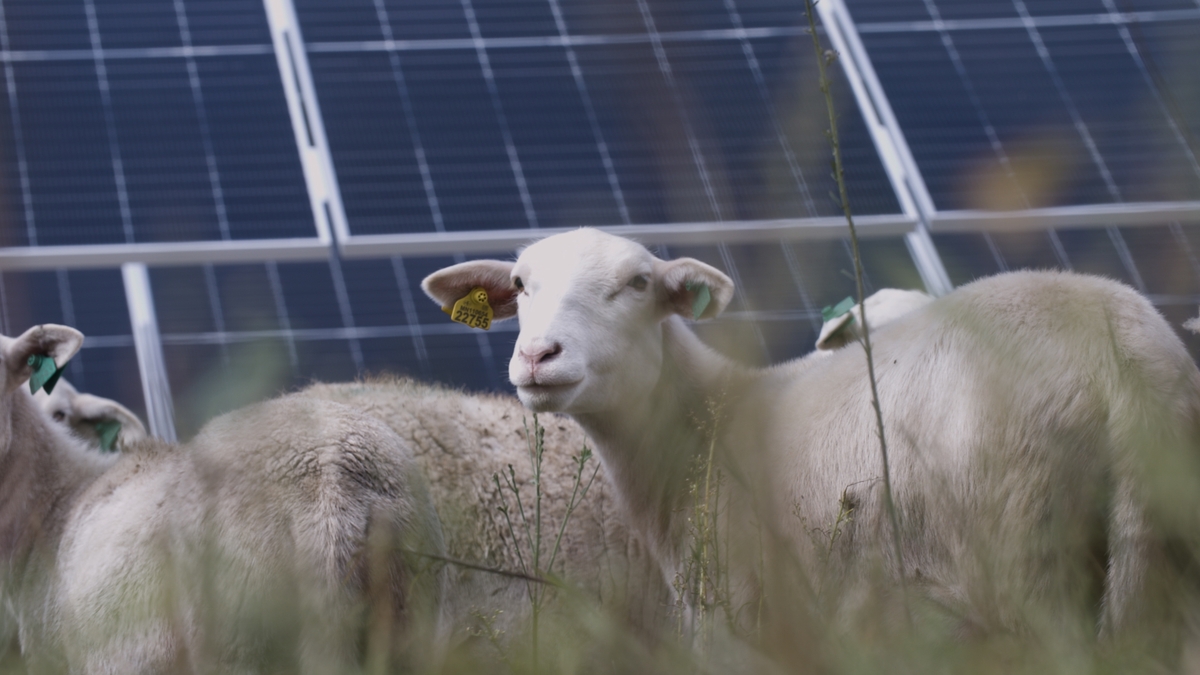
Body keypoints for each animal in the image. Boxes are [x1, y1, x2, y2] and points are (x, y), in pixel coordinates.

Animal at [421, 227, 1200, 647]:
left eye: (639, 282)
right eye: (520, 283)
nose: (537, 356)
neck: (700, 425)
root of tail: (1122, 354)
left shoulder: (734, 620)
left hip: (1023, 551)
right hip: (1159, 567)